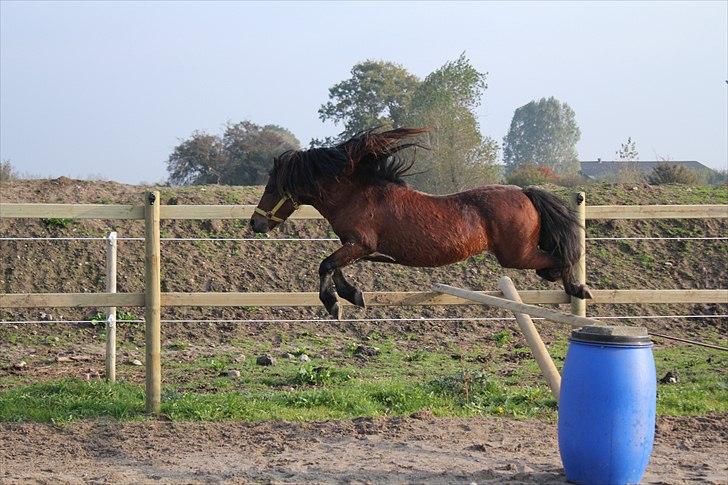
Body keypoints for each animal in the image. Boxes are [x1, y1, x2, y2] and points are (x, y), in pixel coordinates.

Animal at [252, 126, 592, 320]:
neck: (356, 193)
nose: (256, 224)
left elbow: (326, 265)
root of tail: (524, 191)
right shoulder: (357, 247)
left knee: (559, 258)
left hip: (516, 255)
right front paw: (352, 295)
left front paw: (333, 304)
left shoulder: (361, 244)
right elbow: (334, 267)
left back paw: (577, 288)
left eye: (271, 189)